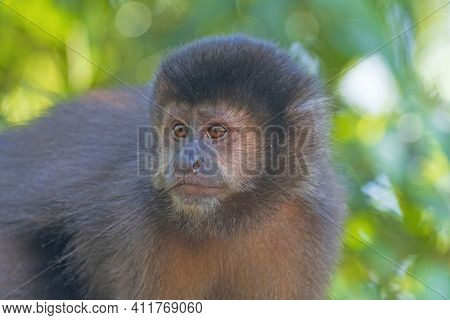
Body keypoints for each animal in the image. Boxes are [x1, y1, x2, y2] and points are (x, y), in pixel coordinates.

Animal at [0, 35, 346, 300]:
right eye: (179, 130)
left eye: (216, 131)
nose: (185, 162)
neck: (233, 220)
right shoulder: (141, 225)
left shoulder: (309, 220)